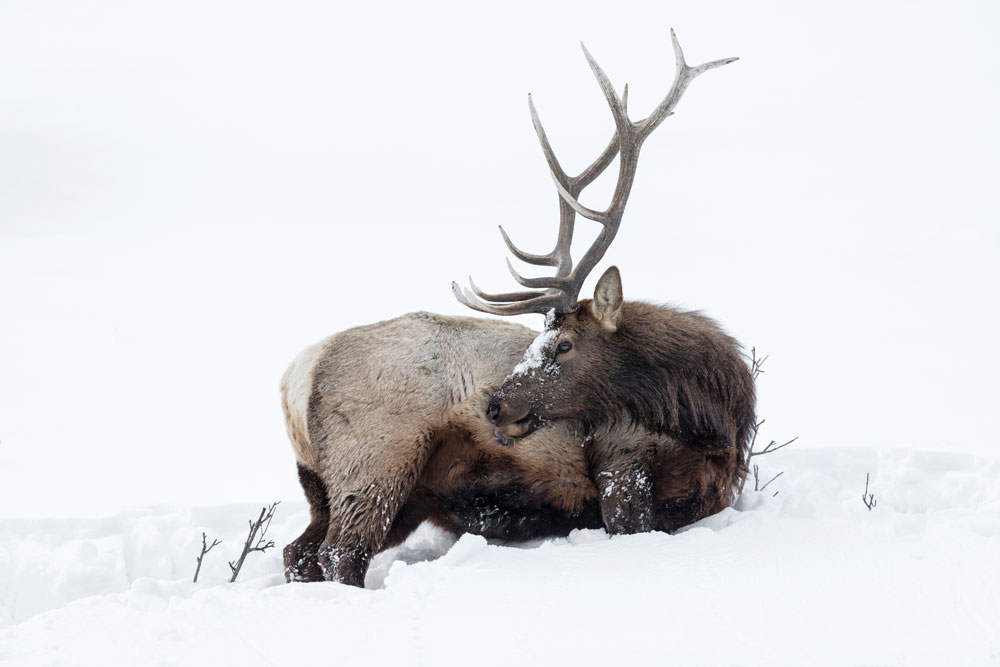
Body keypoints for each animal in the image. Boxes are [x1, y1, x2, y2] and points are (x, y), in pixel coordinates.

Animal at [282, 32, 752, 584]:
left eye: (563, 344)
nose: (492, 406)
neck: (711, 418)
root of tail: (295, 377)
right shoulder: (623, 460)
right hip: (376, 458)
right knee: (340, 554)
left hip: (341, 488)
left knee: (298, 553)